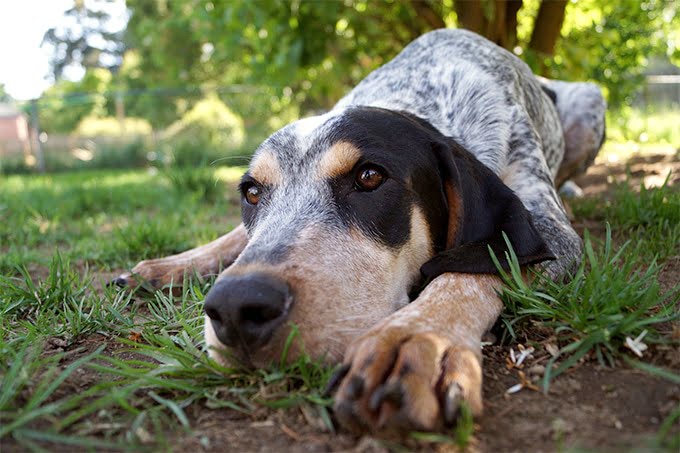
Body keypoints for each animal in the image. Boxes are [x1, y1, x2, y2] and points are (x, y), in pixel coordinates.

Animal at [114, 29, 608, 430]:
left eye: (370, 177)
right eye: (251, 193)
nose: (236, 307)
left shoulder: (548, 229)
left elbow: (471, 266)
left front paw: (418, 338)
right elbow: (237, 238)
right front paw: (174, 264)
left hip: (590, 103)